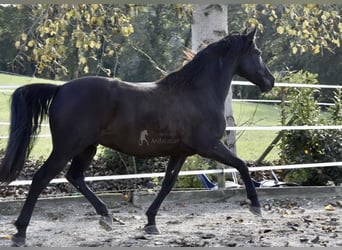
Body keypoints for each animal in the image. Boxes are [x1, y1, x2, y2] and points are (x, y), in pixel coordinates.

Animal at [0, 27, 272, 246]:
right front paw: (256, 206)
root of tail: (60, 89)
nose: (270, 81)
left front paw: (151, 222)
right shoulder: (208, 146)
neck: (197, 93)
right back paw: (20, 233)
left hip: (87, 147)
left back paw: (106, 217)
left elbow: (167, 185)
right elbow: (242, 165)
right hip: (67, 147)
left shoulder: (180, 152)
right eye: (257, 52)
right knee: (41, 178)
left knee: (74, 176)